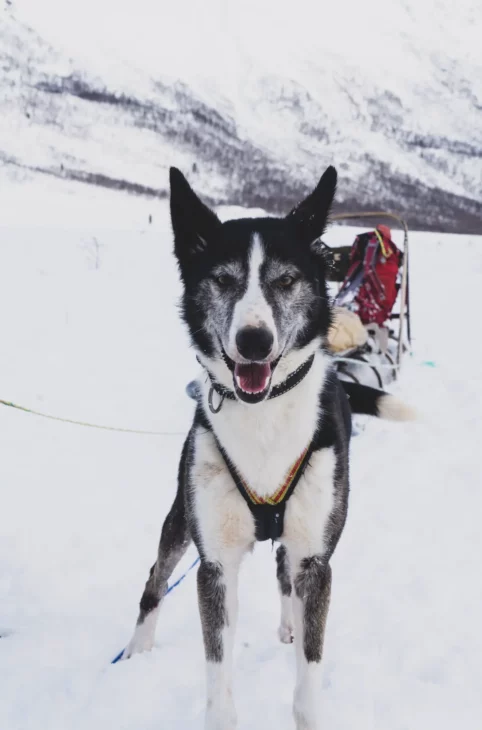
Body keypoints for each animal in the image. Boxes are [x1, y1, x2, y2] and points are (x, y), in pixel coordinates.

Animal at [122, 166, 412, 728]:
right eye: (223, 279)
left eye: (285, 280)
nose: (253, 341)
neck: (263, 417)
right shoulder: (214, 565)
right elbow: (219, 686)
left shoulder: (316, 560)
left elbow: (307, 680)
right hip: (181, 519)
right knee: (154, 578)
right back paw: (135, 650)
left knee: (283, 574)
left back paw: (290, 623)